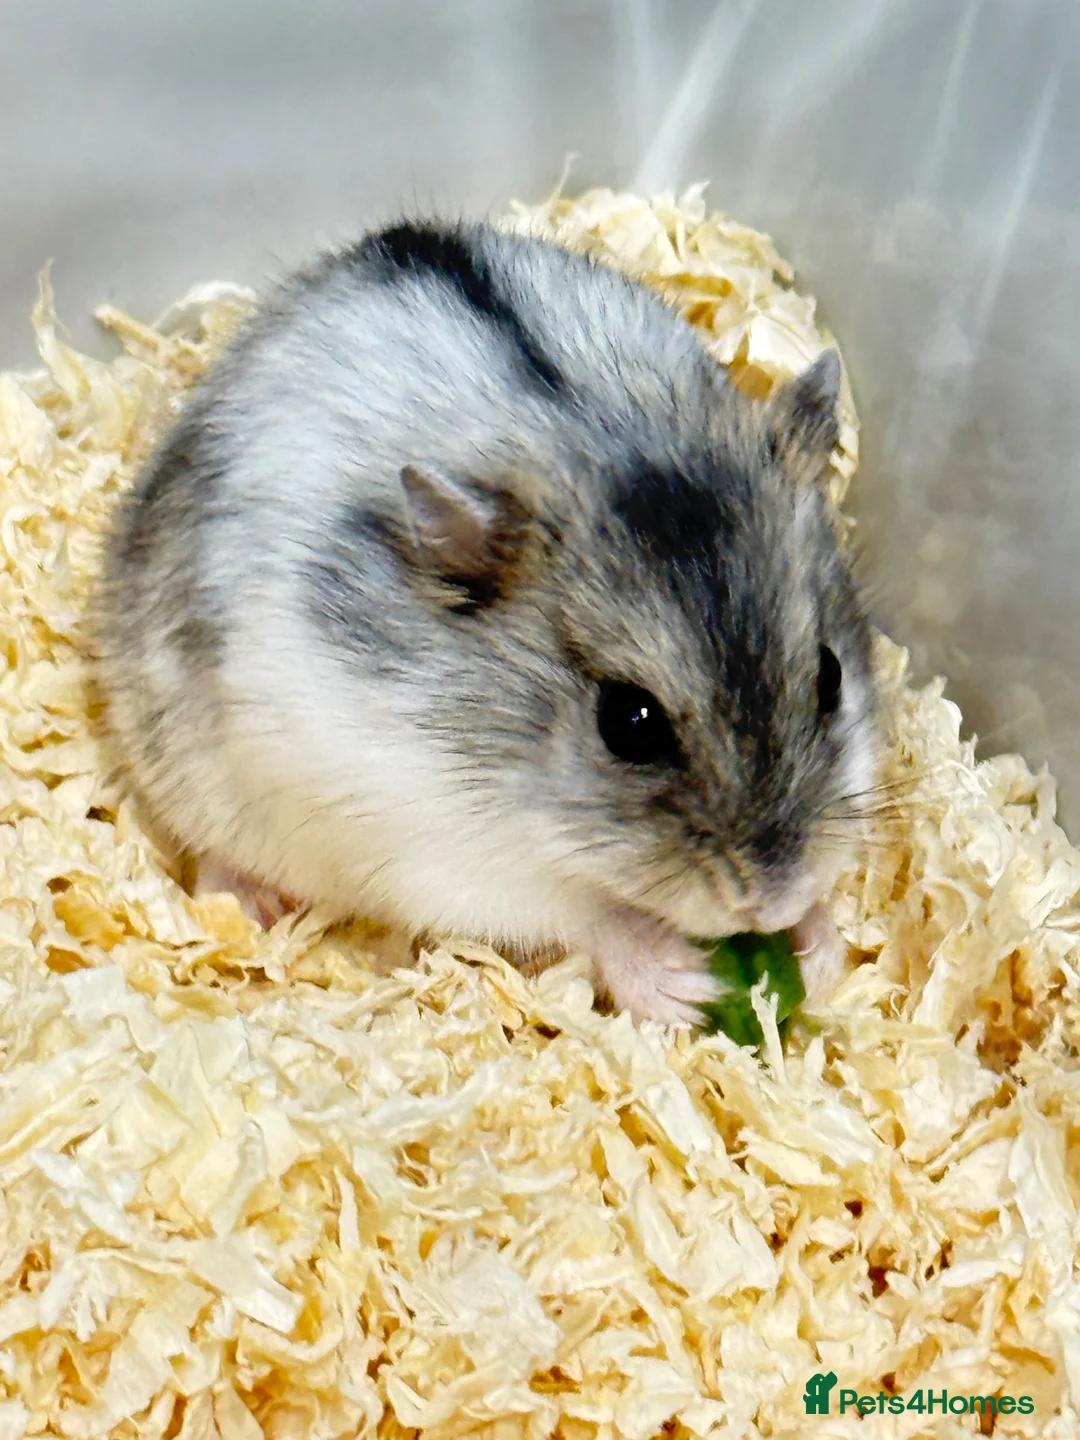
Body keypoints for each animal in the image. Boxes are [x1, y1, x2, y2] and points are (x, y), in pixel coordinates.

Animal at [93, 219, 877, 1025]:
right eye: (629, 724)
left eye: (830, 676)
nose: (772, 898)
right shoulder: (443, 851)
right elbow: (589, 912)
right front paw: (683, 989)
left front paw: (822, 951)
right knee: (210, 860)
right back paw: (255, 906)